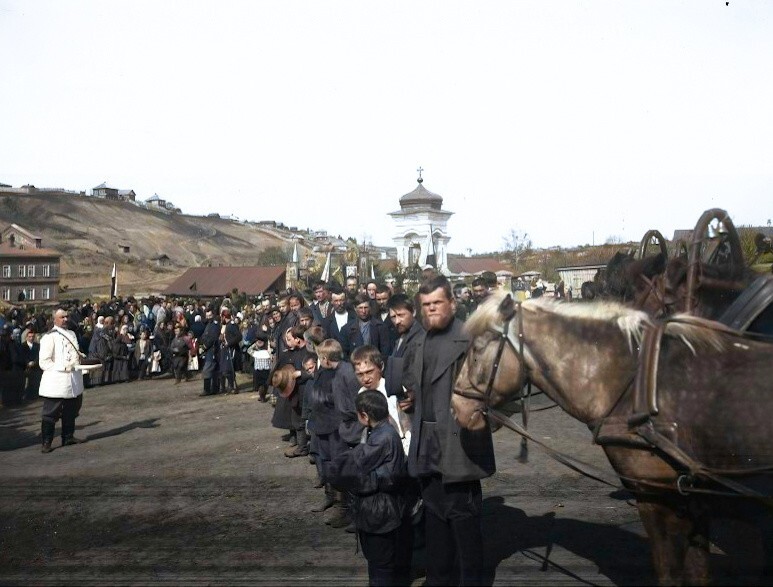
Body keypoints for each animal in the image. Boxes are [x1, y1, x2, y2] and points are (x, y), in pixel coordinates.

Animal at [450, 292, 772, 584]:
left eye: (477, 349)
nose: (456, 407)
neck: (638, 385)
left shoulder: (658, 497)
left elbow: (669, 572)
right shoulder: (694, 504)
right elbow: (697, 572)